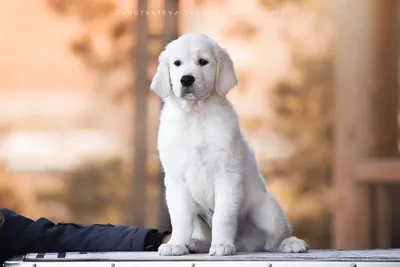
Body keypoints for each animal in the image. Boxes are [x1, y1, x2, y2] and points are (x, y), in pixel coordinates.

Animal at [150, 32, 310, 256]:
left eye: (203, 62)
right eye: (177, 63)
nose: (186, 79)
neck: (196, 114)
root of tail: (246, 242)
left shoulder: (227, 174)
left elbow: (223, 216)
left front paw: (222, 245)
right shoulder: (176, 180)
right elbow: (181, 218)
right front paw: (176, 245)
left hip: (266, 209)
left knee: (276, 238)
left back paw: (291, 243)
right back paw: (195, 243)